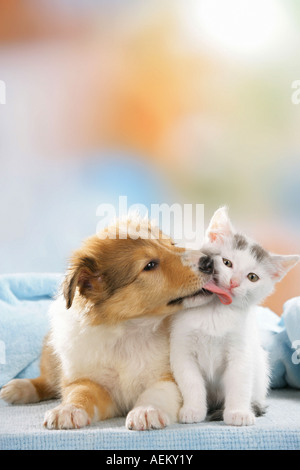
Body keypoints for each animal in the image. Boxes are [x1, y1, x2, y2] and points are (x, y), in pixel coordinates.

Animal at [1, 217, 214, 430]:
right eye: (150, 265)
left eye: (172, 244)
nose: (209, 261)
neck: (130, 331)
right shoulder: (89, 380)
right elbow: (80, 393)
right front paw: (68, 410)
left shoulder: (168, 378)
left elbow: (155, 393)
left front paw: (145, 411)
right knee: (48, 380)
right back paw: (19, 387)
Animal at [170, 206, 298, 426]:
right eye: (227, 262)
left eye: (252, 277)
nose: (234, 282)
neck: (215, 311)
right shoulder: (181, 347)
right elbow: (191, 380)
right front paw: (193, 409)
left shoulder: (241, 350)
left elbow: (239, 382)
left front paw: (238, 413)